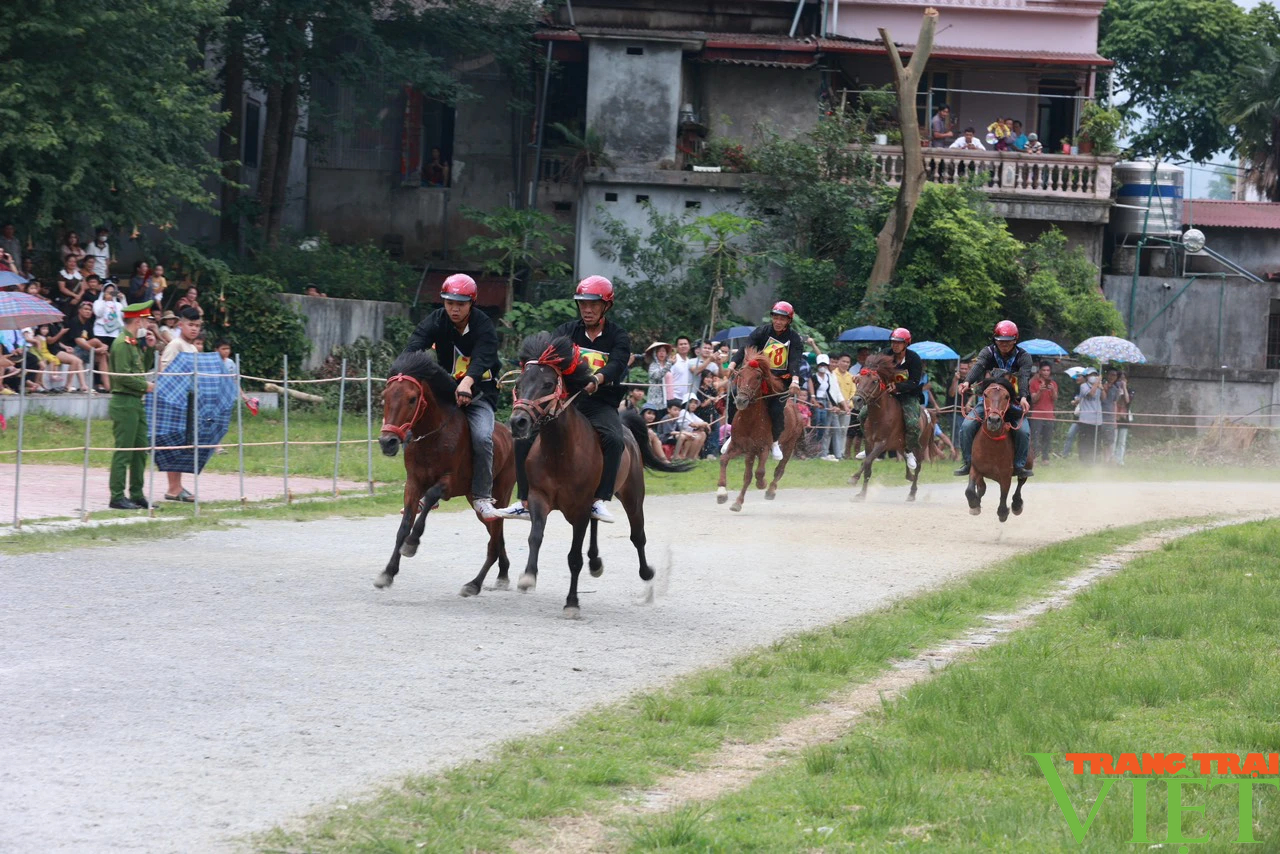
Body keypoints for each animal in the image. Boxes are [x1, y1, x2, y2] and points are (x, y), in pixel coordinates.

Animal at [371, 350, 514, 599]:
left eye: (412, 398)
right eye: (384, 397)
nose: (387, 442)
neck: (433, 436)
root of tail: (510, 436)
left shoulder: (449, 482)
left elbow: (429, 498)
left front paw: (412, 543)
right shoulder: (413, 484)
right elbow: (404, 526)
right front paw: (388, 573)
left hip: (501, 493)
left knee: (494, 541)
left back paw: (474, 584)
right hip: (474, 501)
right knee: (496, 537)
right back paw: (502, 574)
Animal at [506, 330, 691, 617]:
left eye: (548, 384)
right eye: (520, 383)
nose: (518, 422)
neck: (560, 452)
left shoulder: (580, 507)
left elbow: (574, 558)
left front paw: (572, 603)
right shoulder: (539, 498)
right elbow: (535, 536)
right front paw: (528, 576)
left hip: (633, 495)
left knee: (638, 536)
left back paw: (646, 574)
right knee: (597, 524)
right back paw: (595, 561)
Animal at [721, 348, 798, 514]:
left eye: (757, 377)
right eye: (740, 374)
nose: (741, 401)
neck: (749, 421)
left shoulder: (763, 448)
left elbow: (760, 472)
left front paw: (762, 483)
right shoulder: (740, 446)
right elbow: (724, 460)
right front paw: (722, 494)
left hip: (790, 444)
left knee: (779, 469)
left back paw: (770, 491)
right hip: (751, 452)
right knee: (748, 476)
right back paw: (738, 502)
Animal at [849, 353, 931, 501]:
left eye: (874, 381)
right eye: (858, 380)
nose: (857, 400)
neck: (879, 416)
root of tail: (928, 414)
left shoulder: (882, 443)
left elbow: (867, 462)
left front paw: (855, 481)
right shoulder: (869, 442)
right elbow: (867, 466)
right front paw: (861, 492)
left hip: (920, 446)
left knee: (918, 466)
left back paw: (912, 493)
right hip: (900, 445)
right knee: (906, 457)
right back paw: (909, 475)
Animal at [962, 378, 1034, 522]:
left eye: (1006, 396)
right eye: (985, 395)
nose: (994, 420)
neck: (991, 445)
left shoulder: (1005, 475)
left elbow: (1003, 496)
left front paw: (1003, 513)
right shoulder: (975, 468)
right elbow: (970, 490)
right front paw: (974, 505)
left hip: (1027, 465)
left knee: (1020, 482)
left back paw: (1017, 505)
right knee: (982, 488)